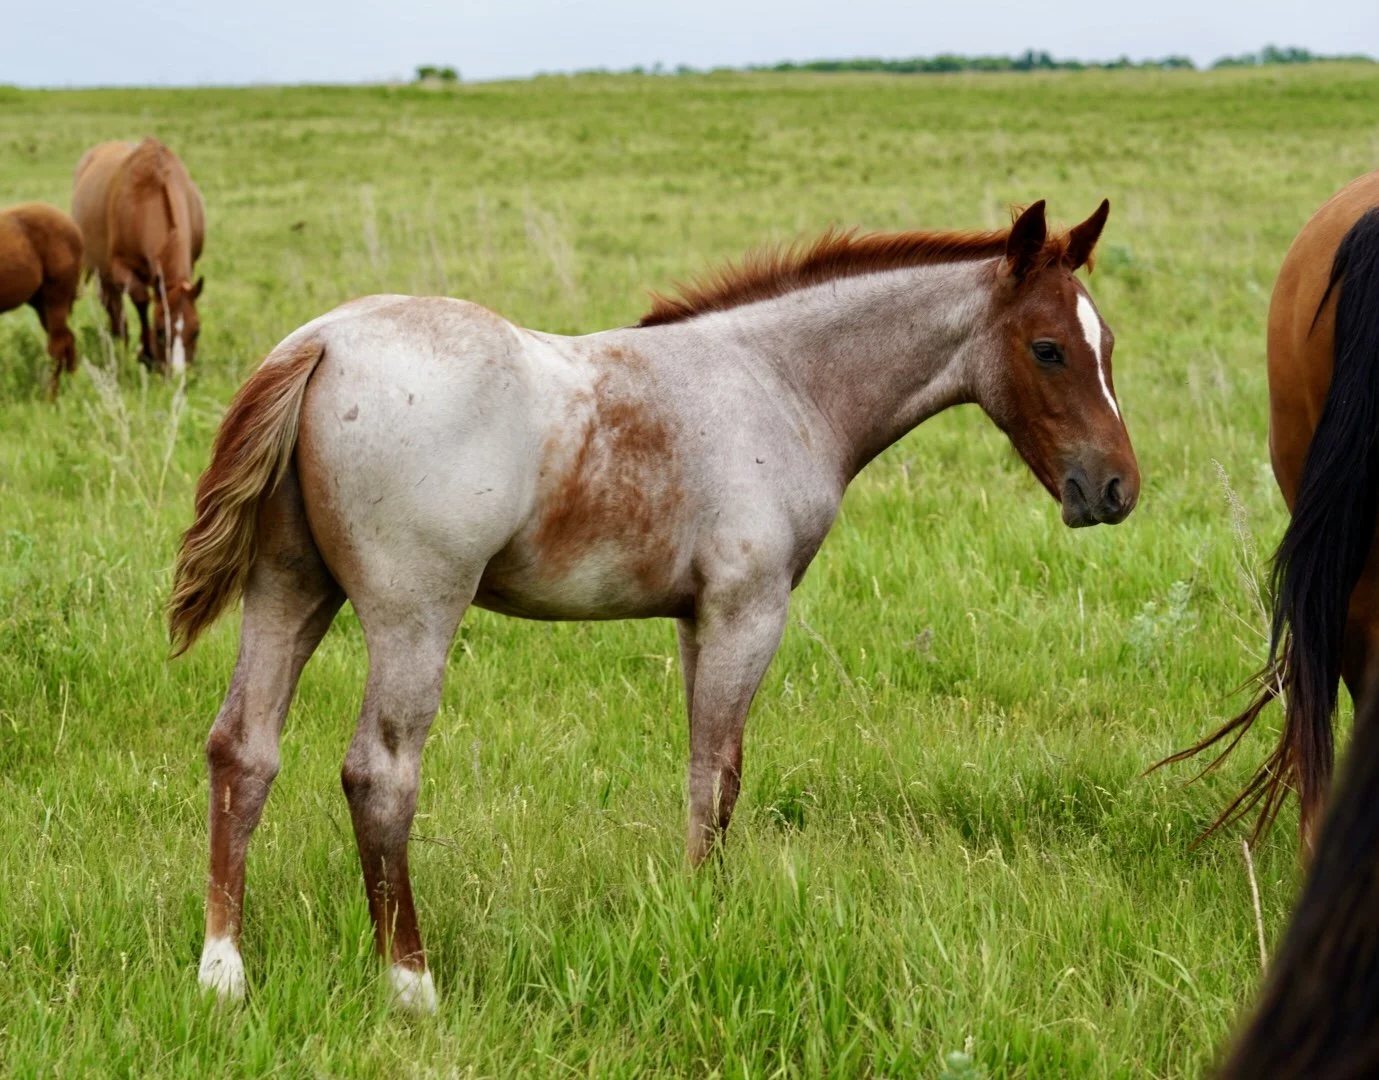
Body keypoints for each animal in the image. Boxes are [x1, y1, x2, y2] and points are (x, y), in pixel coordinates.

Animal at [0, 202, 83, 397]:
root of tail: (73, 226)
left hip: (56, 297)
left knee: (58, 344)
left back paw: (51, 398)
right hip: (40, 303)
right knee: (68, 340)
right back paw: (73, 390)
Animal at [71, 137, 205, 375]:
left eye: (196, 330)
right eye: (160, 331)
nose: (178, 376)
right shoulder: (121, 270)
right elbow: (141, 300)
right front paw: (146, 353)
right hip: (104, 274)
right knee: (114, 308)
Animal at [168, 199, 1138, 1011]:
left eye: (1107, 344)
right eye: (1046, 348)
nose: (1115, 488)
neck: (778, 382)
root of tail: (321, 343)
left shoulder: (692, 619)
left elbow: (704, 768)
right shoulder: (748, 610)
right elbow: (718, 772)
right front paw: (705, 911)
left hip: (291, 590)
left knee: (242, 749)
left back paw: (223, 972)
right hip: (416, 616)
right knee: (379, 773)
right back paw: (411, 982)